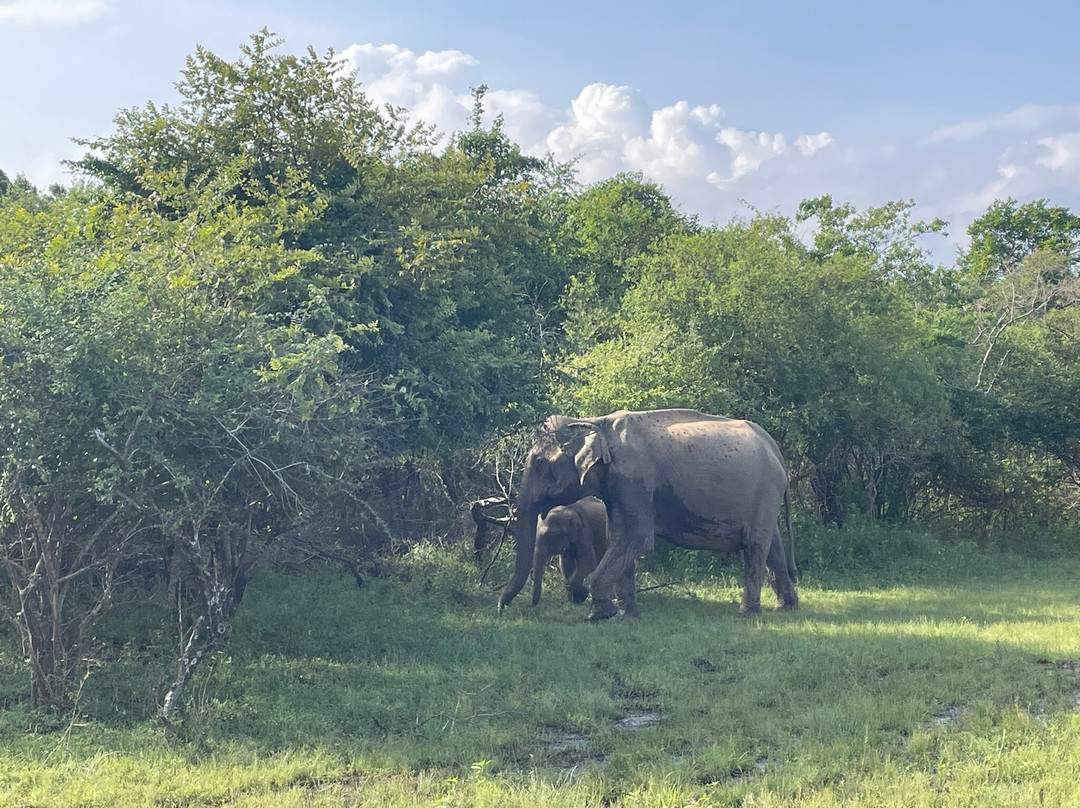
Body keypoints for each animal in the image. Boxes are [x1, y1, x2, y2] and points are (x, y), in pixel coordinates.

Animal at [494, 410, 794, 617]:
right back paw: (786, 607)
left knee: (755, 545)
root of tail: (775, 450)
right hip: (766, 498)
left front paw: (598, 615)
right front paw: (625, 615)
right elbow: (618, 538)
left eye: (540, 465)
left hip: (765, 491)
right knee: (774, 546)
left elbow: (636, 538)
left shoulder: (633, 480)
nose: (500, 610)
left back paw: (747, 613)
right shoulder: (617, 487)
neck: (596, 423)